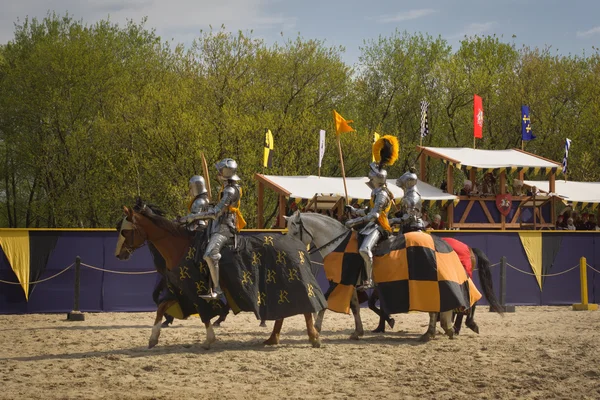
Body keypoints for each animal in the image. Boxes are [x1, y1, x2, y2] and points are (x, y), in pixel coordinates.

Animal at [115, 202, 326, 348]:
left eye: (125, 231)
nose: (119, 255)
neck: (179, 247)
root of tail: (298, 245)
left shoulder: (194, 289)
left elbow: (205, 313)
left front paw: (209, 339)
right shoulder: (179, 290)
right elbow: (160, 308)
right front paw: (153, 338)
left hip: (293, 282)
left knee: (307, 306)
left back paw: (313, 337)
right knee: (283, 311)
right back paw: (273, 338)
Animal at [284, 211, 504, 342]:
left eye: (294, 231)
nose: (292, 250)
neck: (338, 245)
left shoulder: (340, 281)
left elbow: (325, 303)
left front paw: (316, 329)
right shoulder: (352, 284)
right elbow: (356, 307)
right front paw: (359, 331)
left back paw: (444, 329)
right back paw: (445, 329)